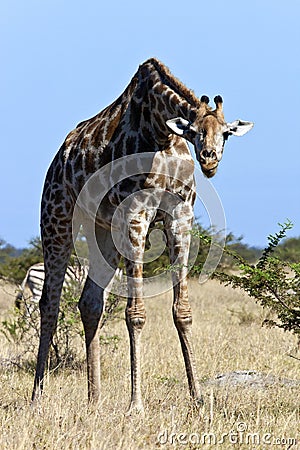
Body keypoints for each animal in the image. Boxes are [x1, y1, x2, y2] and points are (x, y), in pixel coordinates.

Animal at [32, 58, 253, 414]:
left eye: (226, 134)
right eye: (192, 131)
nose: (209, 159)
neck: (161, 133)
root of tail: (60, 154)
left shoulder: (180, 215)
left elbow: (182, 311)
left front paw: (197, 398)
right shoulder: (136, 213)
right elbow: (135, 313)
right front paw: (136, 404)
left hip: (101, 229)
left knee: (90, 301)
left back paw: (94, 399)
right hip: (56, 215)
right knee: (49, 302)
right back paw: (37, 397)